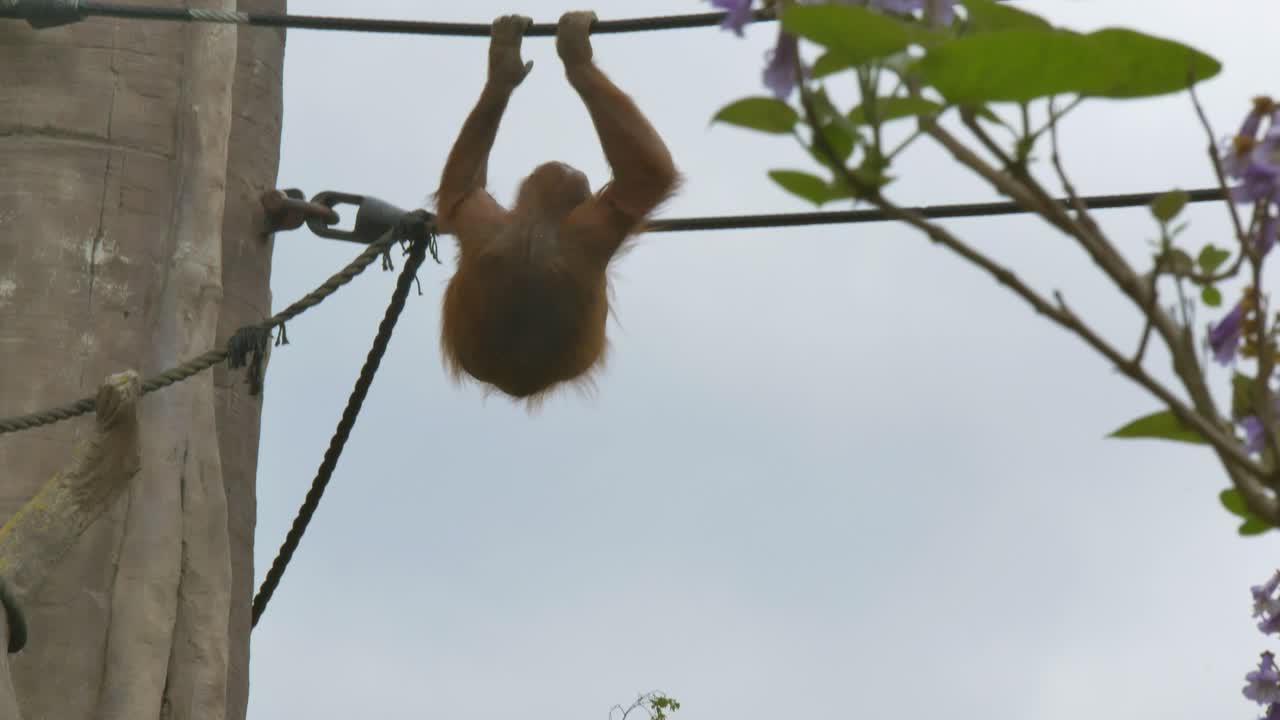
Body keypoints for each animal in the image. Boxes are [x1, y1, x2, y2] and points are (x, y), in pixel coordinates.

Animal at [434, 11, 680, 404]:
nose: (568, 170)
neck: (536, 220)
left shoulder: (479, 216)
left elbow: (459, 191)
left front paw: (504, 64)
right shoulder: (597, 224)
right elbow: (649, 176)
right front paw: (576, 57)